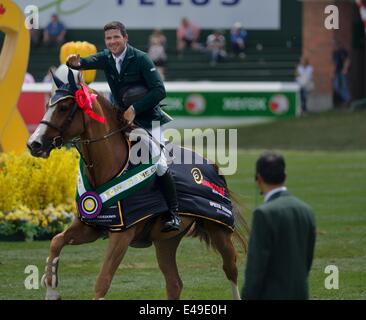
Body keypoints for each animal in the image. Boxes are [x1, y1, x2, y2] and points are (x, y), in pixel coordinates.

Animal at [27, 70, 247, 300]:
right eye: (47, 105)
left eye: (63, 107)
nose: (34, 144)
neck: (109, 169)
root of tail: (213, 165)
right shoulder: (91, 227)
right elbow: (56, 241)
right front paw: (51, 290)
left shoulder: (122, 235)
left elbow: (103, 281)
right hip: (166, 241)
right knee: (174, 283)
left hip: (219, 230)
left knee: (230, 268)